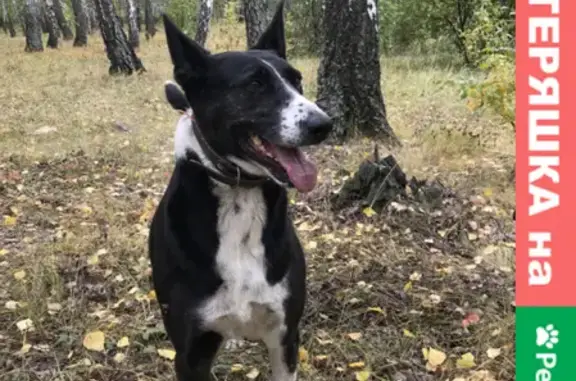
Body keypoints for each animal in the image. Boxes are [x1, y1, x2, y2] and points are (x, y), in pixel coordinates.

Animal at [148, 1, 332, 378]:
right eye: (254, 84)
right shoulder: (189, 352)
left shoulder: (285, 337)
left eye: (297, 80)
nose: (324, 125)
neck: (239, 194)